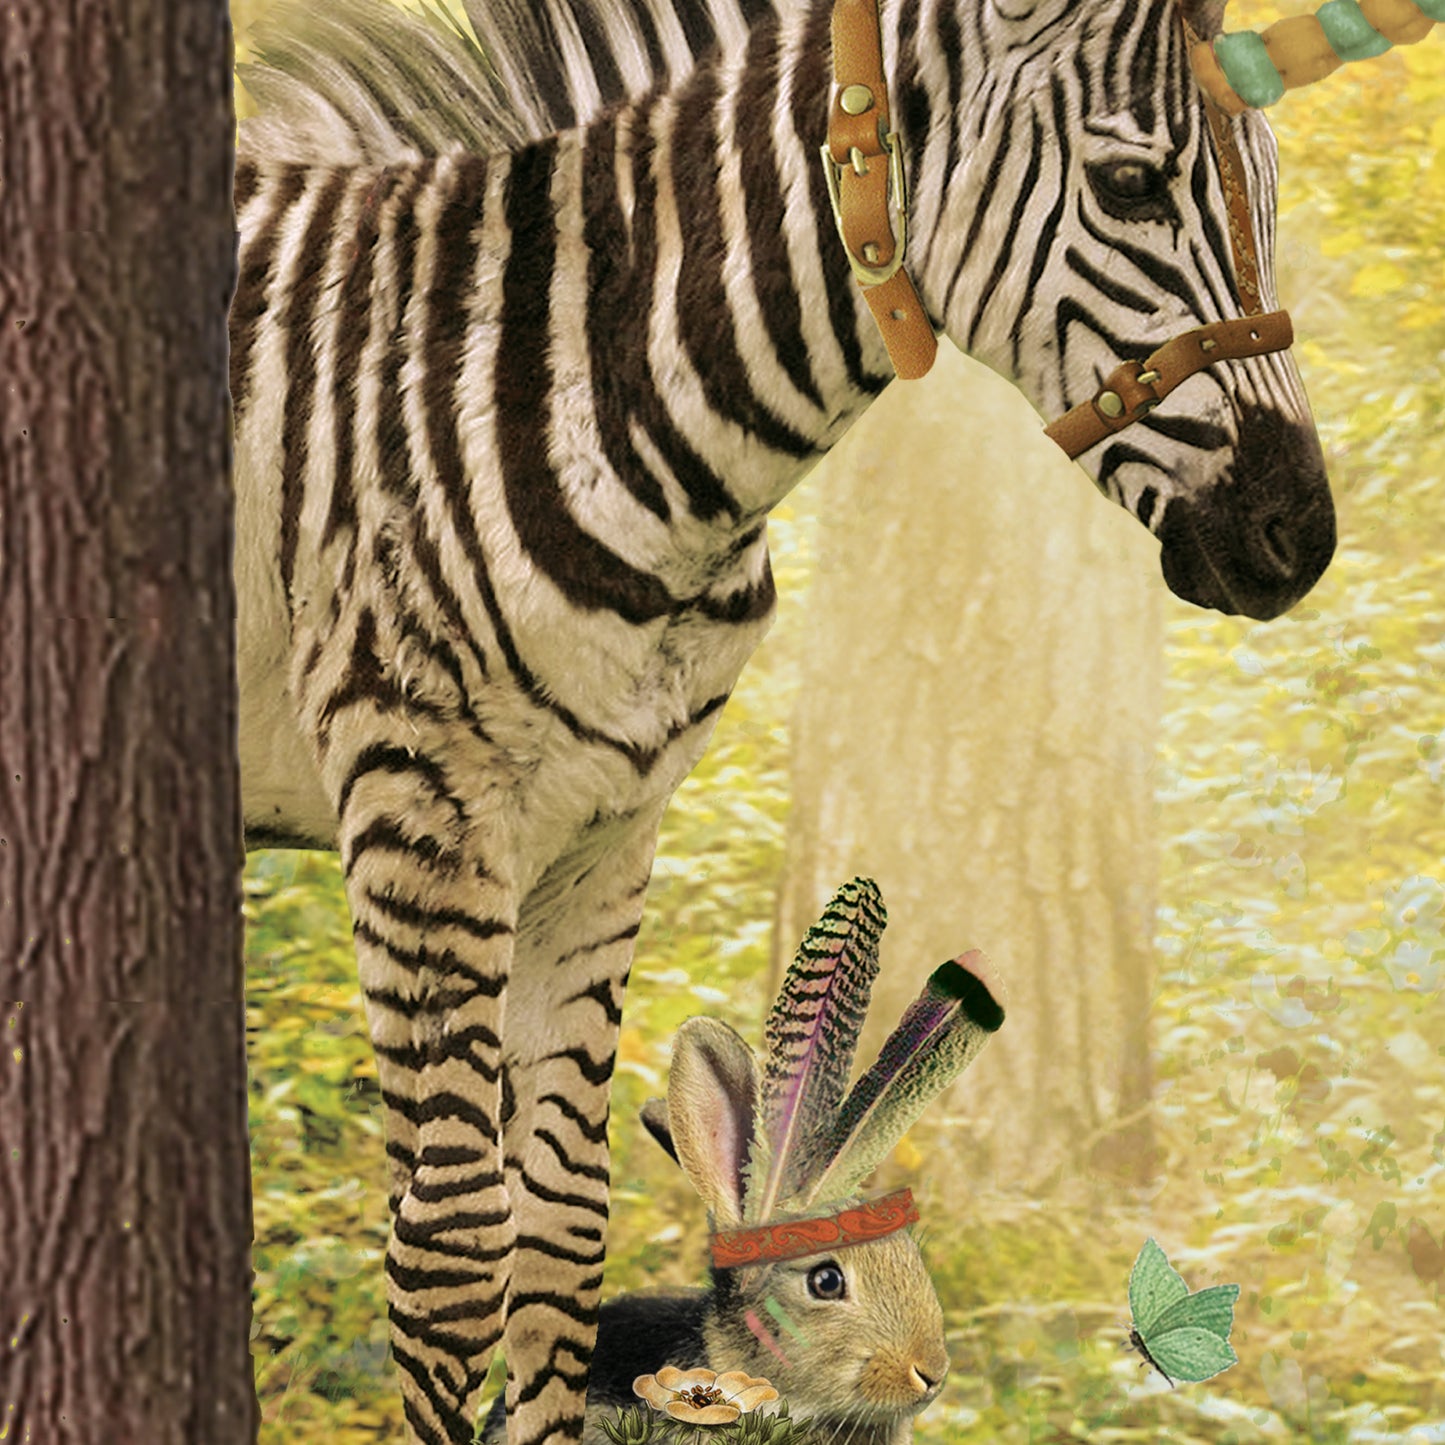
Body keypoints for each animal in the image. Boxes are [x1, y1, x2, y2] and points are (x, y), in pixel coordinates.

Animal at [233, 0, 1335, 1440]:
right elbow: (455, 1244)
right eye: (1128, 186)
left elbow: (557, 1234)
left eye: (1271, 182)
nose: (1299, 541)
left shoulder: (606, 830)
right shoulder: (424, 806)